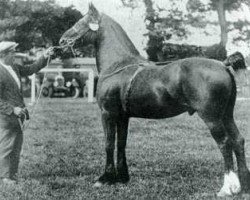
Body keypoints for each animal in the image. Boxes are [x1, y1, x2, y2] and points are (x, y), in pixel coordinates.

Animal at [60, 3, 250, 197]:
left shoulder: (107, 114)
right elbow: (121, 143)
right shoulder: (122, 117)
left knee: (225, 143)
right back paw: (244, 185)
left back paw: (227, 188)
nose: (61, 41)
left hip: (211, 117)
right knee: (238, 140)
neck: (118, 65)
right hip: (226, 115)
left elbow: (108, 144)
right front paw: (122, 177)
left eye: (81, 23)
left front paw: (104, 178)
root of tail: (223, 64)